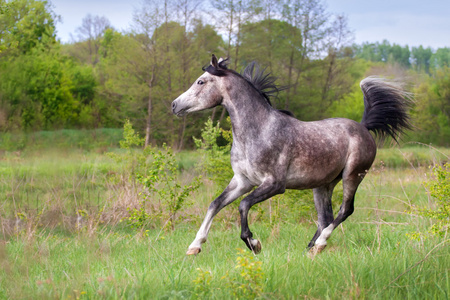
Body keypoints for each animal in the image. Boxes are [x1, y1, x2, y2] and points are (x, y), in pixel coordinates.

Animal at [172, 54, 412, 255]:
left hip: (352, 175)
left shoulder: (275, 184)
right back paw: (310, 249)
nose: (174, 105)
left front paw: (254, 243)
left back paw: (320, 244)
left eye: (201, 81)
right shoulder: (242, 181)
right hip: (323, 185)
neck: (258, 131)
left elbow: (243, 205)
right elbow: (215, 204)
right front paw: (194, 246)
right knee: (325, 217)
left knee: (345, 210)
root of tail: (363, 127)